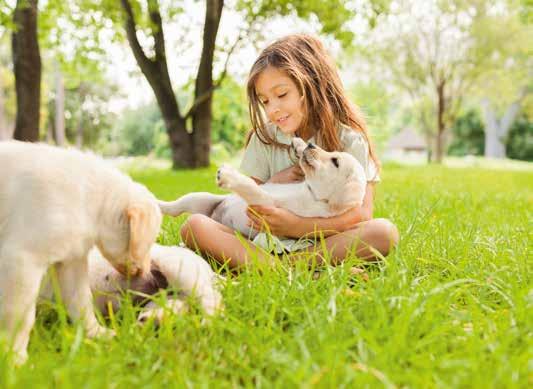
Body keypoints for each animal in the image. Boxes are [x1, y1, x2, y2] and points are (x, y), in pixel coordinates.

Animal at [0, 140, 162, 364]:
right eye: (151, 241)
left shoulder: (71, 262)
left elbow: (82, 302)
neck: (90, 201)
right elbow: (19, 315)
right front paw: (14, 356)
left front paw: (98, 334)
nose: (147, 272)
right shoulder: (22, 259)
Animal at [157, 137, 366, 239]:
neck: (311, 192)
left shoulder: (265, 205)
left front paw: (229, 175)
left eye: (335, 161)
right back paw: (155, 203)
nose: (311, 144)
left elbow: (251, 186)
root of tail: (214, 216)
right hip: (200, 197)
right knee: (173, 208)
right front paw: (299, 144)